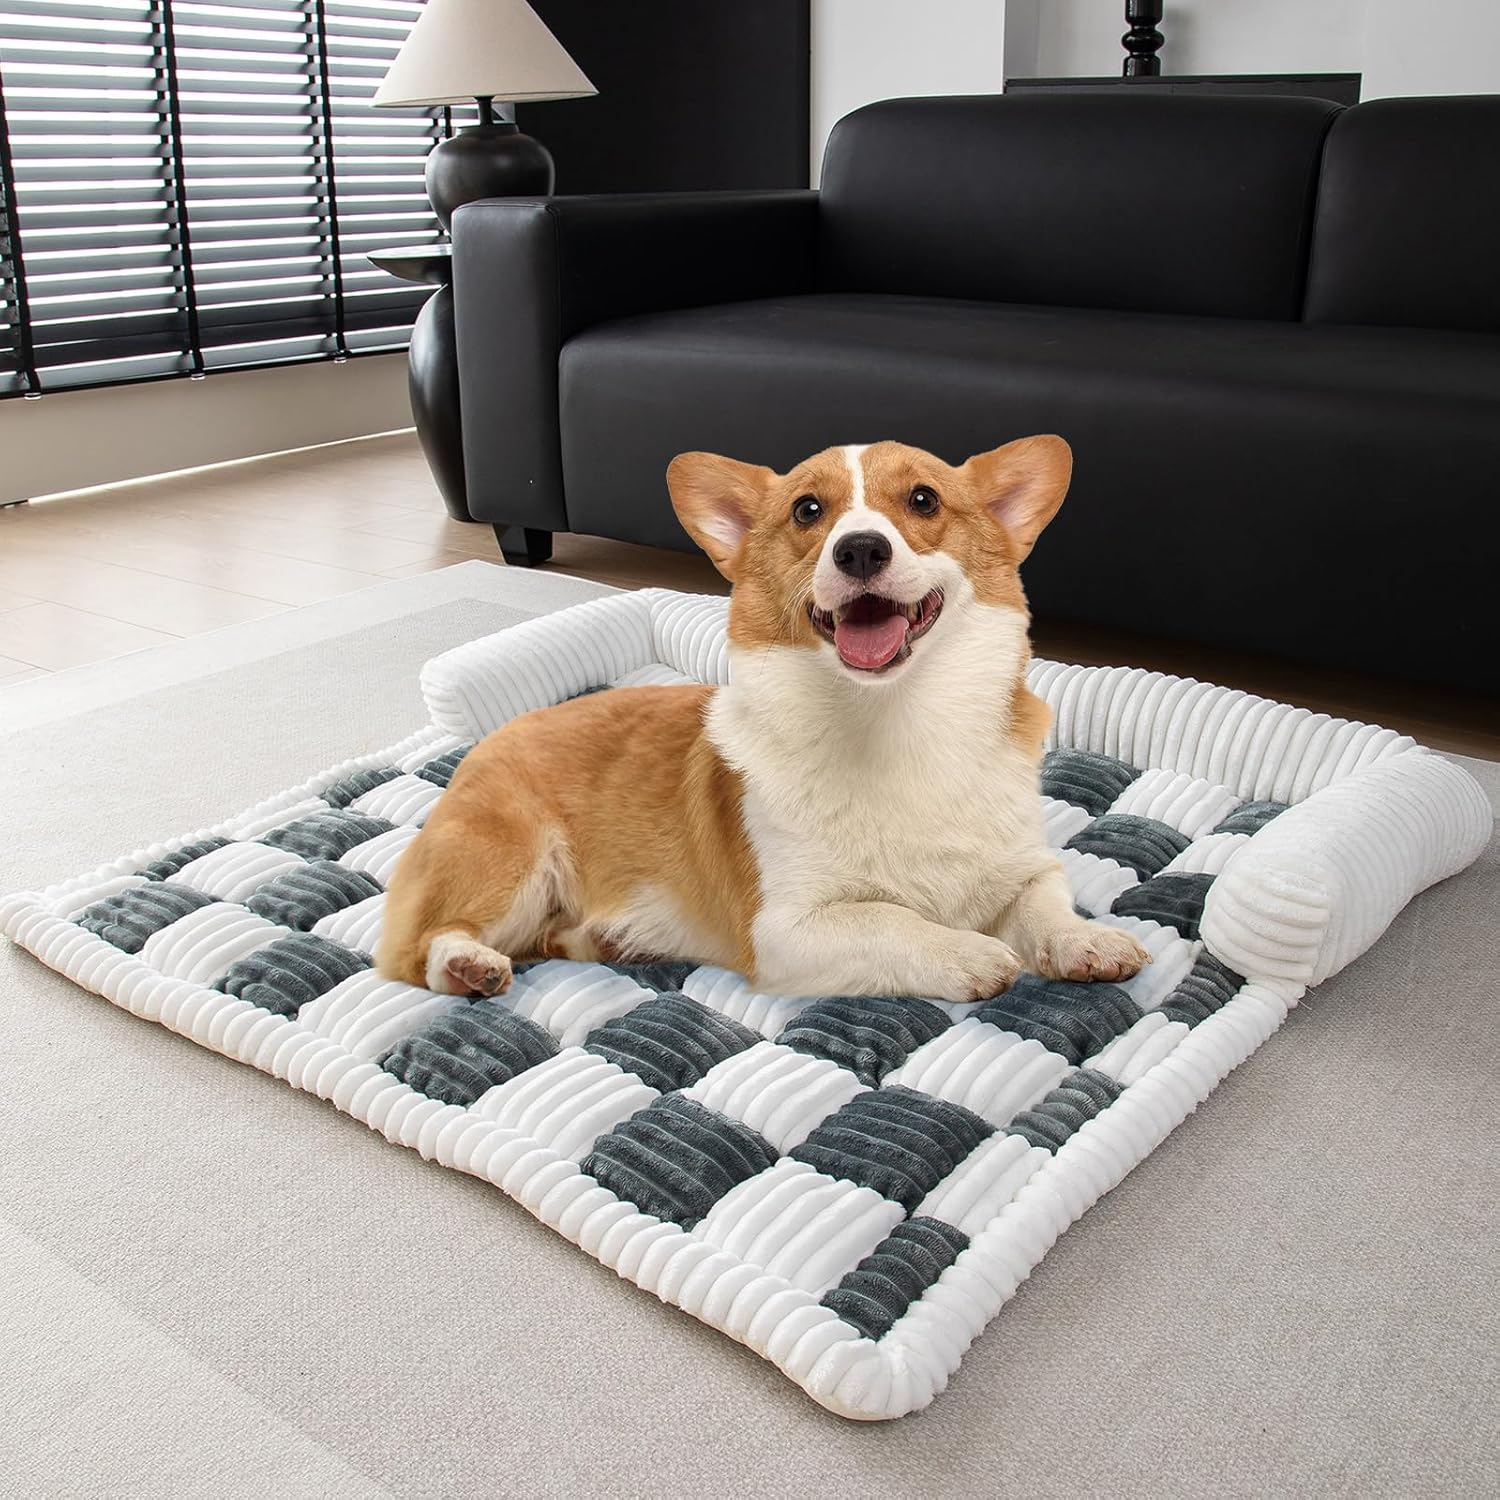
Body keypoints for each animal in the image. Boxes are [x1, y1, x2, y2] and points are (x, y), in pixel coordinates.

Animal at [375, 435, 1146, 1002]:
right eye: (807, 511)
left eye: (924, 500)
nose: (859, 548)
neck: (894, 720)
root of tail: (487, 742)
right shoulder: (787, 929)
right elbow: (890, 917)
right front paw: (968, 952)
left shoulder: (1024, 866)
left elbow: (1045, 903)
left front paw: (1086, 941)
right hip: (510, 862)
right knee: (413, 950)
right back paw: (466, 965)